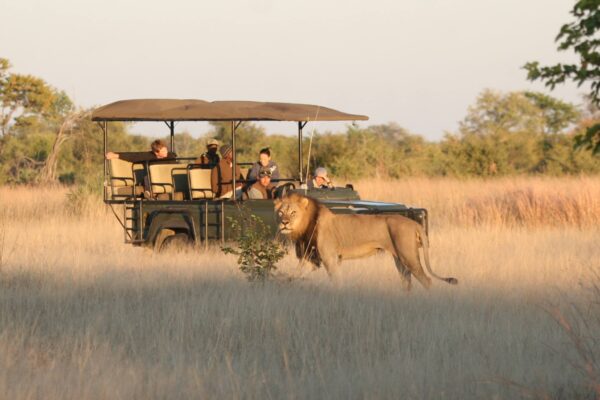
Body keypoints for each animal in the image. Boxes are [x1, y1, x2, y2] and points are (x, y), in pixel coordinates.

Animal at [274, 192, 458, 290]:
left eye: (293, 213)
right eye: (281, 212)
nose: (284, 223)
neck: (306, 225)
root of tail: (413, 223)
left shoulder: (329, 258)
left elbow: (336, 281)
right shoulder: (310, 259)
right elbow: (294, 275)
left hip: (409, 256)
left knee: (427, 280)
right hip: (399, 259)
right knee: (407, 281)